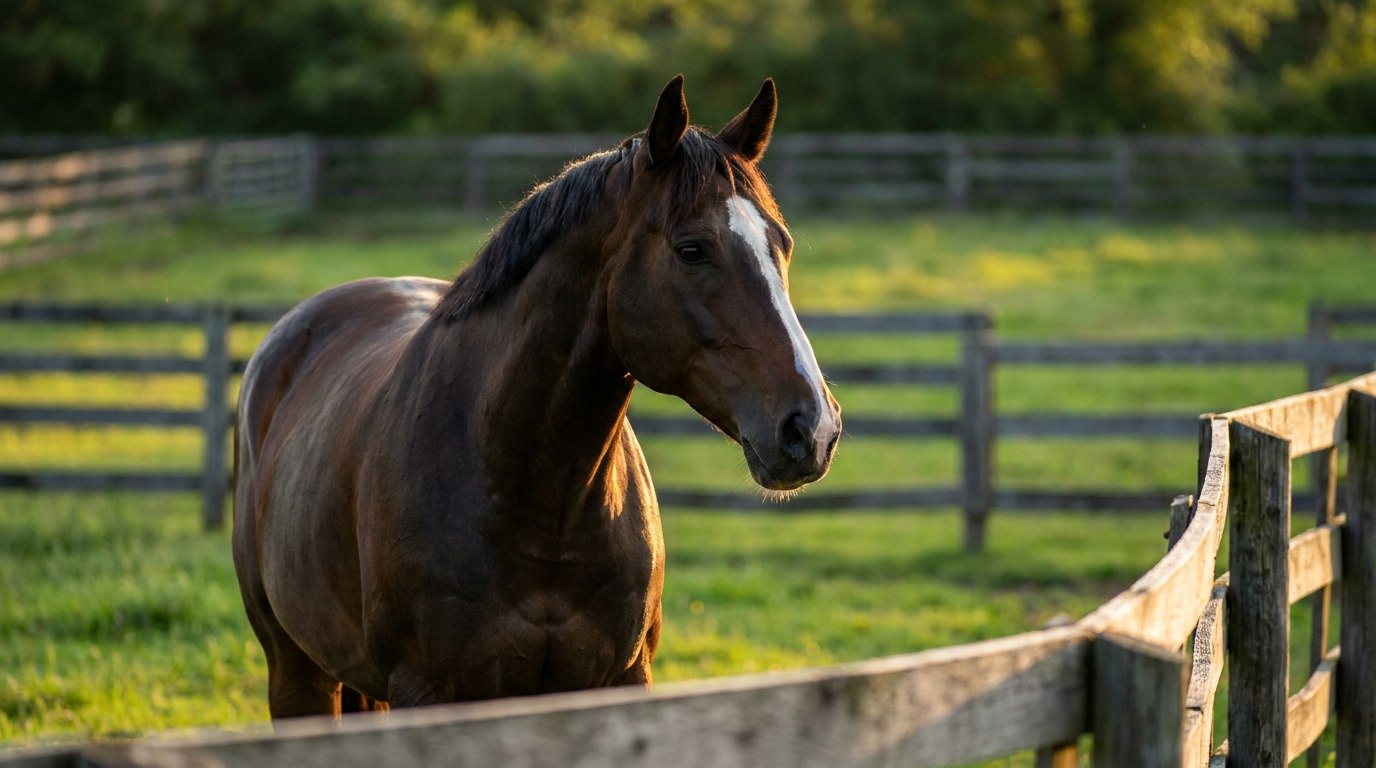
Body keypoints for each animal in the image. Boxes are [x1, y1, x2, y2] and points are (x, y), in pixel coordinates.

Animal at [232, 74, 842, 719]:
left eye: (782, 244)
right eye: (691, 249)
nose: (813, 428)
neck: (540, 498)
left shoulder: (620, 680)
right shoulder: (426, 690)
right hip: (297, 673)